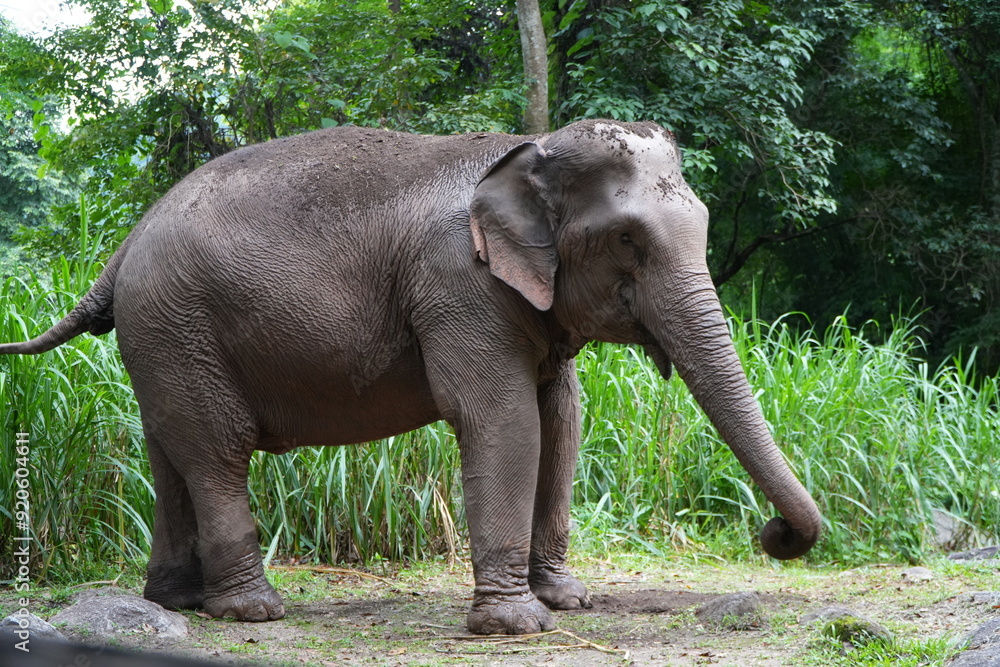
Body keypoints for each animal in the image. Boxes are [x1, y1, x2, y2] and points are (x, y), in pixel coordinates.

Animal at [0, 119, 821, 635]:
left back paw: (179, 602)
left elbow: (563, 417)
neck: (525, 151)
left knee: (168, 450)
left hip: (161, 339)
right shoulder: (457, 285)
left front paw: (568, 601)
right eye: (627, 239)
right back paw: (253, 611)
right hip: (178, 325)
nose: (772, 532)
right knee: (216, 449)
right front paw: (516, 624)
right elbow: (503, 419)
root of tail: (122, 247)